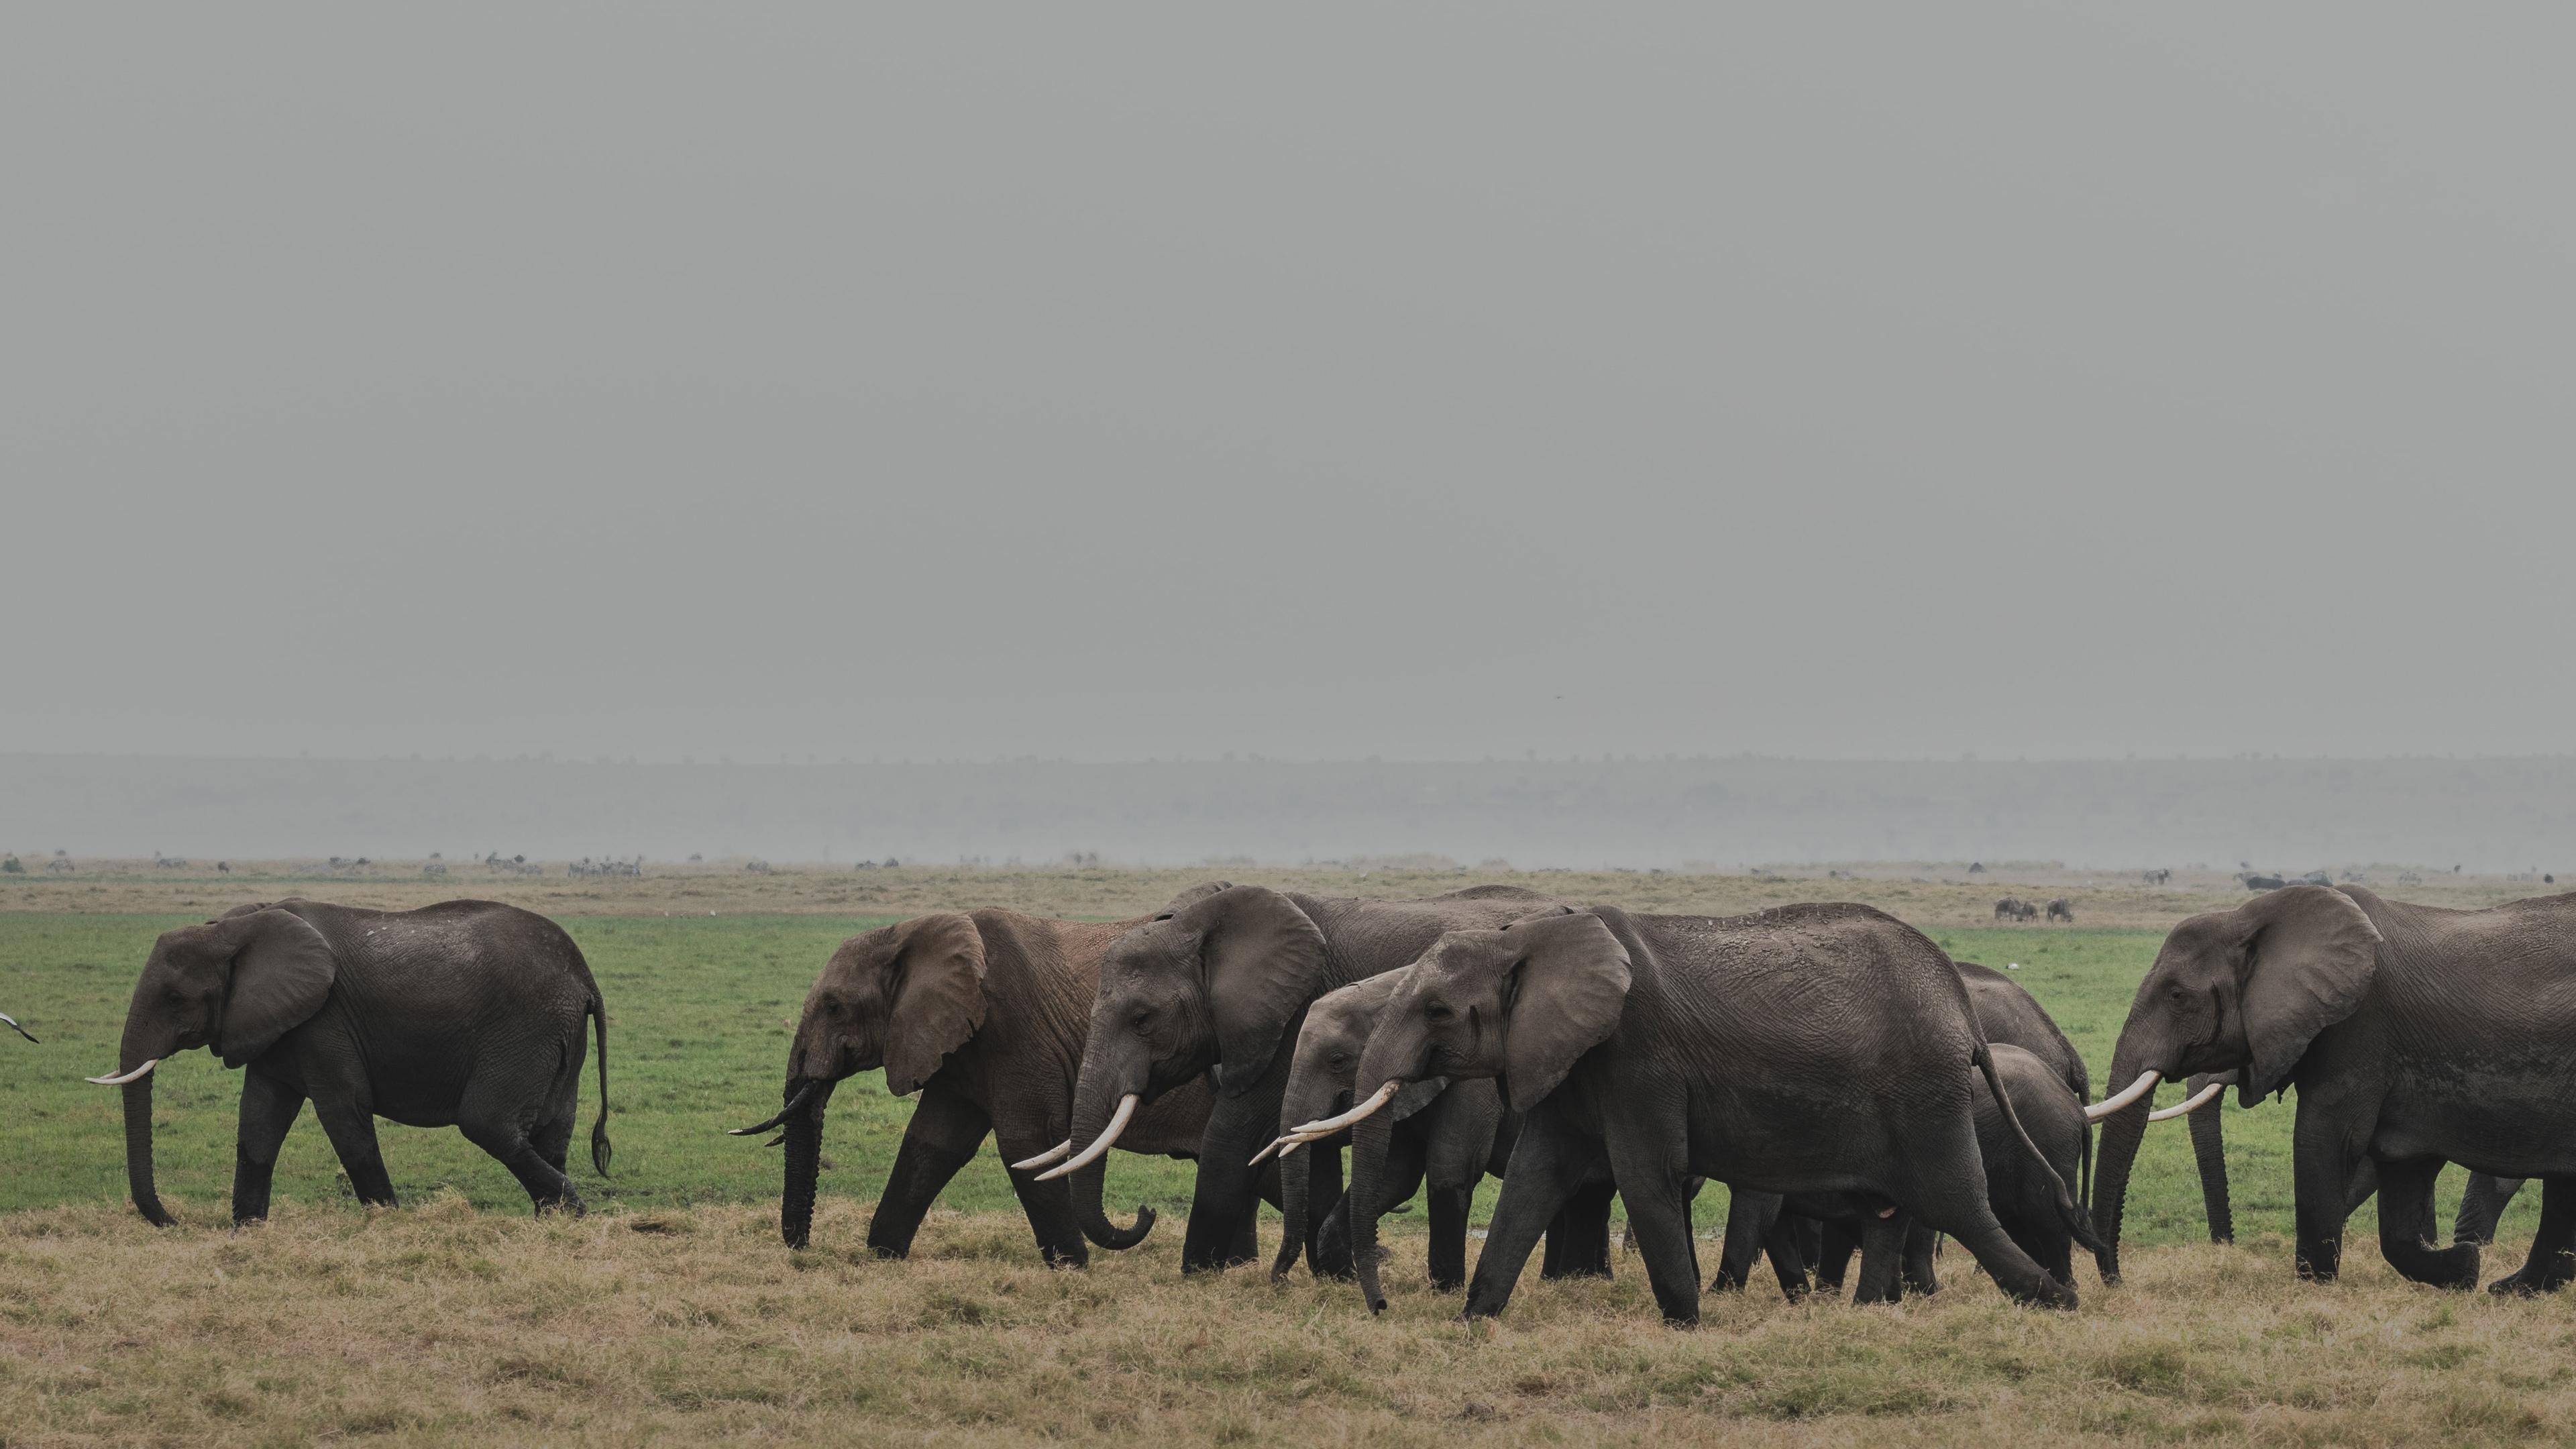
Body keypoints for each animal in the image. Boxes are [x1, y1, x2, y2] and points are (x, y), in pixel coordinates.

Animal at [87, 897, 612, 1222]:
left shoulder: (324, 1022)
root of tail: (584, 974)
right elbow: (259, 1122)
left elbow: (344, 1113)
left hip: (525, 1027)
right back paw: (553, 1226)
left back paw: (574, 1216)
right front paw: (247, 1232)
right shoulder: (274, 1026)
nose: (174, 1221)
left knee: (489, 1124)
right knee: (551, 1132)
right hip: (559, 1036)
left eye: (175, 998)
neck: (232, 928)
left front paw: (389, 1224)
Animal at [731, 897, 1221, 1258]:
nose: (801, 1248)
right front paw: (882, 1255)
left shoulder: (1014, 1030)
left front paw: (1072, 1267)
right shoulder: (954, 1043)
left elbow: (1025, 1144)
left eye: (834, 1007)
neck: (910, 933)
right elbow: (933, 1143)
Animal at [1046, 881, 1607, 1273]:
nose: (1144, 1215)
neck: (1204, 920)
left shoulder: (1288, 1017)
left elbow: (1234, 1134)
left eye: (1142, 1019)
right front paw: (1328, 1276)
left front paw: (1196, 1276)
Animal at [1339, 902, 2081, 1320]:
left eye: (1438, 1010)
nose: (1379, 1307)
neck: (1527, 938)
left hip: (1923, 1093)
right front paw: (1473, 1321)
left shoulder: (1638, 1060)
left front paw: (1687, 1323)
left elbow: (1646, 1178)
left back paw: (2058, 1306)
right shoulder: (1570, 1057)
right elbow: (1534, 1179)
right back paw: (1875, 1314)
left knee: (1958, 1205)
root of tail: (1960, 1003)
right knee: (1896, 1208)